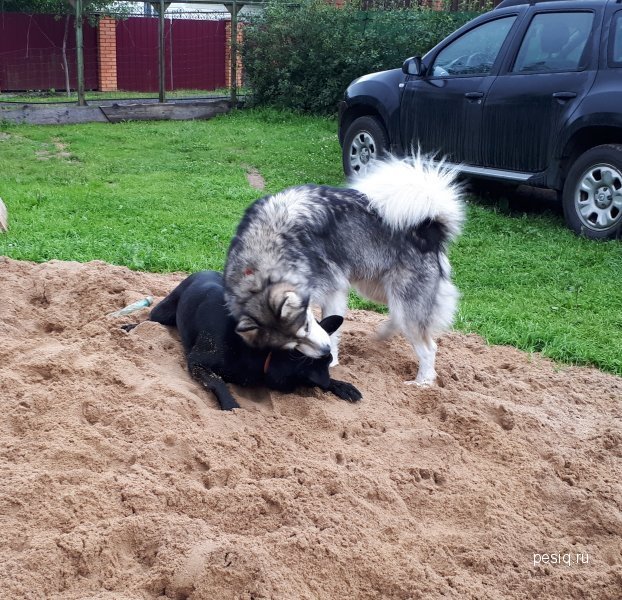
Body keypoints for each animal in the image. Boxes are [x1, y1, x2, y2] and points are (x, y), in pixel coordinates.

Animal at [146, 270, 360, 410]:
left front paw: (340, 385)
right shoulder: (197, 362)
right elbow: (217, 382)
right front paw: (231, 405)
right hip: (162, 313)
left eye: (329, 361)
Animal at [223, 156, 464, 384]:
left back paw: (422, 382)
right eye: (293, 345)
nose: (324, 352)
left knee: (428, 347)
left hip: (404, 300)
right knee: (399, 318)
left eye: (307, 325)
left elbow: (333, 327)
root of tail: (430, 230)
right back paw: (384, 334)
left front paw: (333, 360)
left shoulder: (334, 290)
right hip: (380, 291)